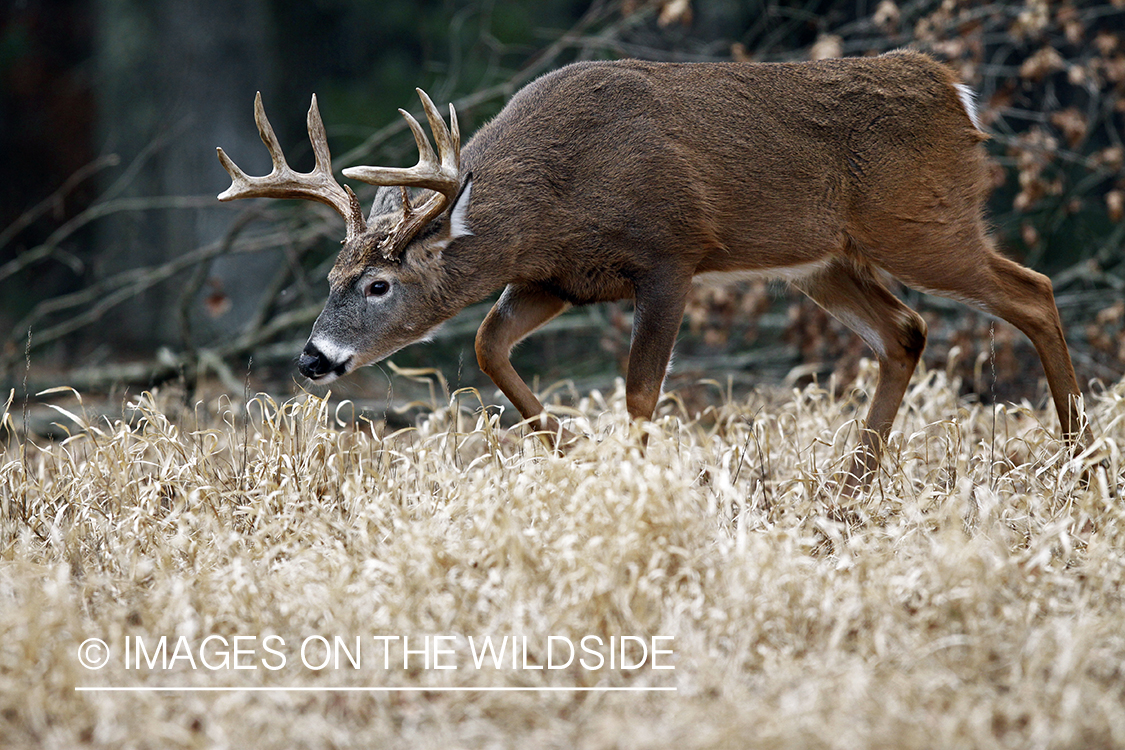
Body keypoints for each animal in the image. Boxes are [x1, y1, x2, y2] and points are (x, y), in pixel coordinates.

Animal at [217, 49, 1089, 494]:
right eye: (331, 276)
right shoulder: (555, 276)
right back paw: (847, 486)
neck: (553, 196)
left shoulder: (669, 254)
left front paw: (637, 488)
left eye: (378, 285)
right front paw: (573, 453)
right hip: (821, 260)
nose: (312, 359)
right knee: (906, 330)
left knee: (1033, 291)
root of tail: (958, 93)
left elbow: (640, 390)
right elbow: (488, 347)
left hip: (920, 223)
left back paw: (1078, 457)